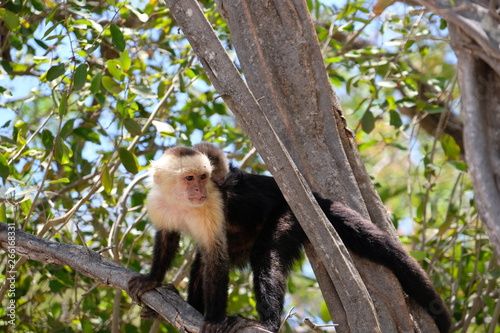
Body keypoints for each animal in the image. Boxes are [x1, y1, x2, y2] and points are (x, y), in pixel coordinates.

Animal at [128, 142, 450, 332]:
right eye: (189, 178)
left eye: (203, 177)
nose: (199, 190)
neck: (182, 202)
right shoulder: (159, 204)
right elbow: (168, 239)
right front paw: (152, 280)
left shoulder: (212, 204)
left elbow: (216, 259)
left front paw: (214, 320)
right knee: (201, 262)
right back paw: (190, 308)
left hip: (289, 214)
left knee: (265, 254)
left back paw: (267, 323)